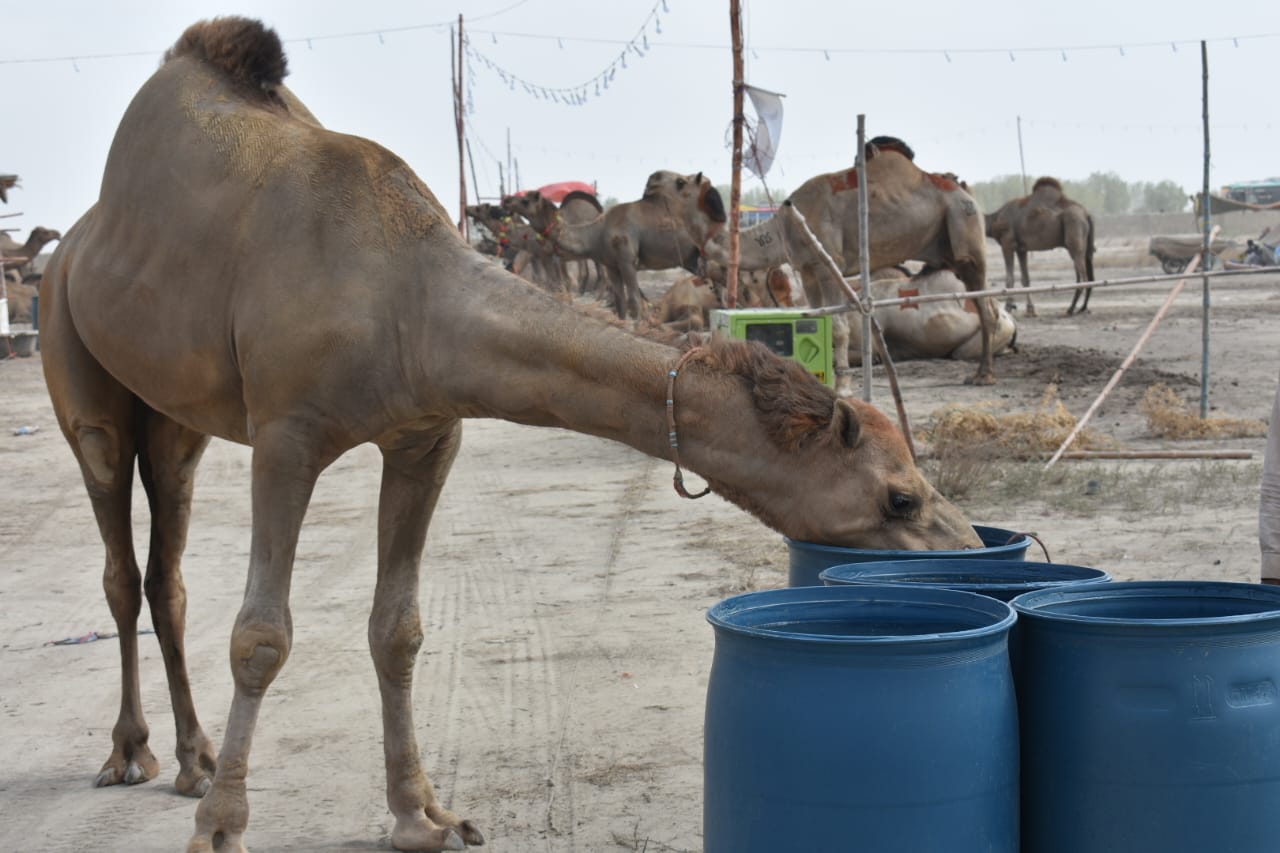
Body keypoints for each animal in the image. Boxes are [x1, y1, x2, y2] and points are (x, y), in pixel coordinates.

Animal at [40, 14, 977, 850]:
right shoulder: (287, 433)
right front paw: (222, 829)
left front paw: (423, 816)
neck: (408, 299)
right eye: (900, 495)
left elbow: (398, 628)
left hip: (174, 420)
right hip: (78, 366)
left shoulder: (425, 434)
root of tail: (73, 244)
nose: (971, 548)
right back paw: (131, 755)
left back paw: (192, 757)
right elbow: (261, 636)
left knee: (166, 570)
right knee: (119, 551)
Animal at [983, 174, 1095, 313]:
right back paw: (1081, 307)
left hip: (1074, 232)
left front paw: (1008, 307)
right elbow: (1025, 279)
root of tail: (1086, 214)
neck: (994, 220)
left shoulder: (1007, 243)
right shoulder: (1021, 248)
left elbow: (1010, 279)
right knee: (1088, 275)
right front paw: (1030, 310)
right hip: (1086, 247)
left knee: (1083, 277)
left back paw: (1072, 308)